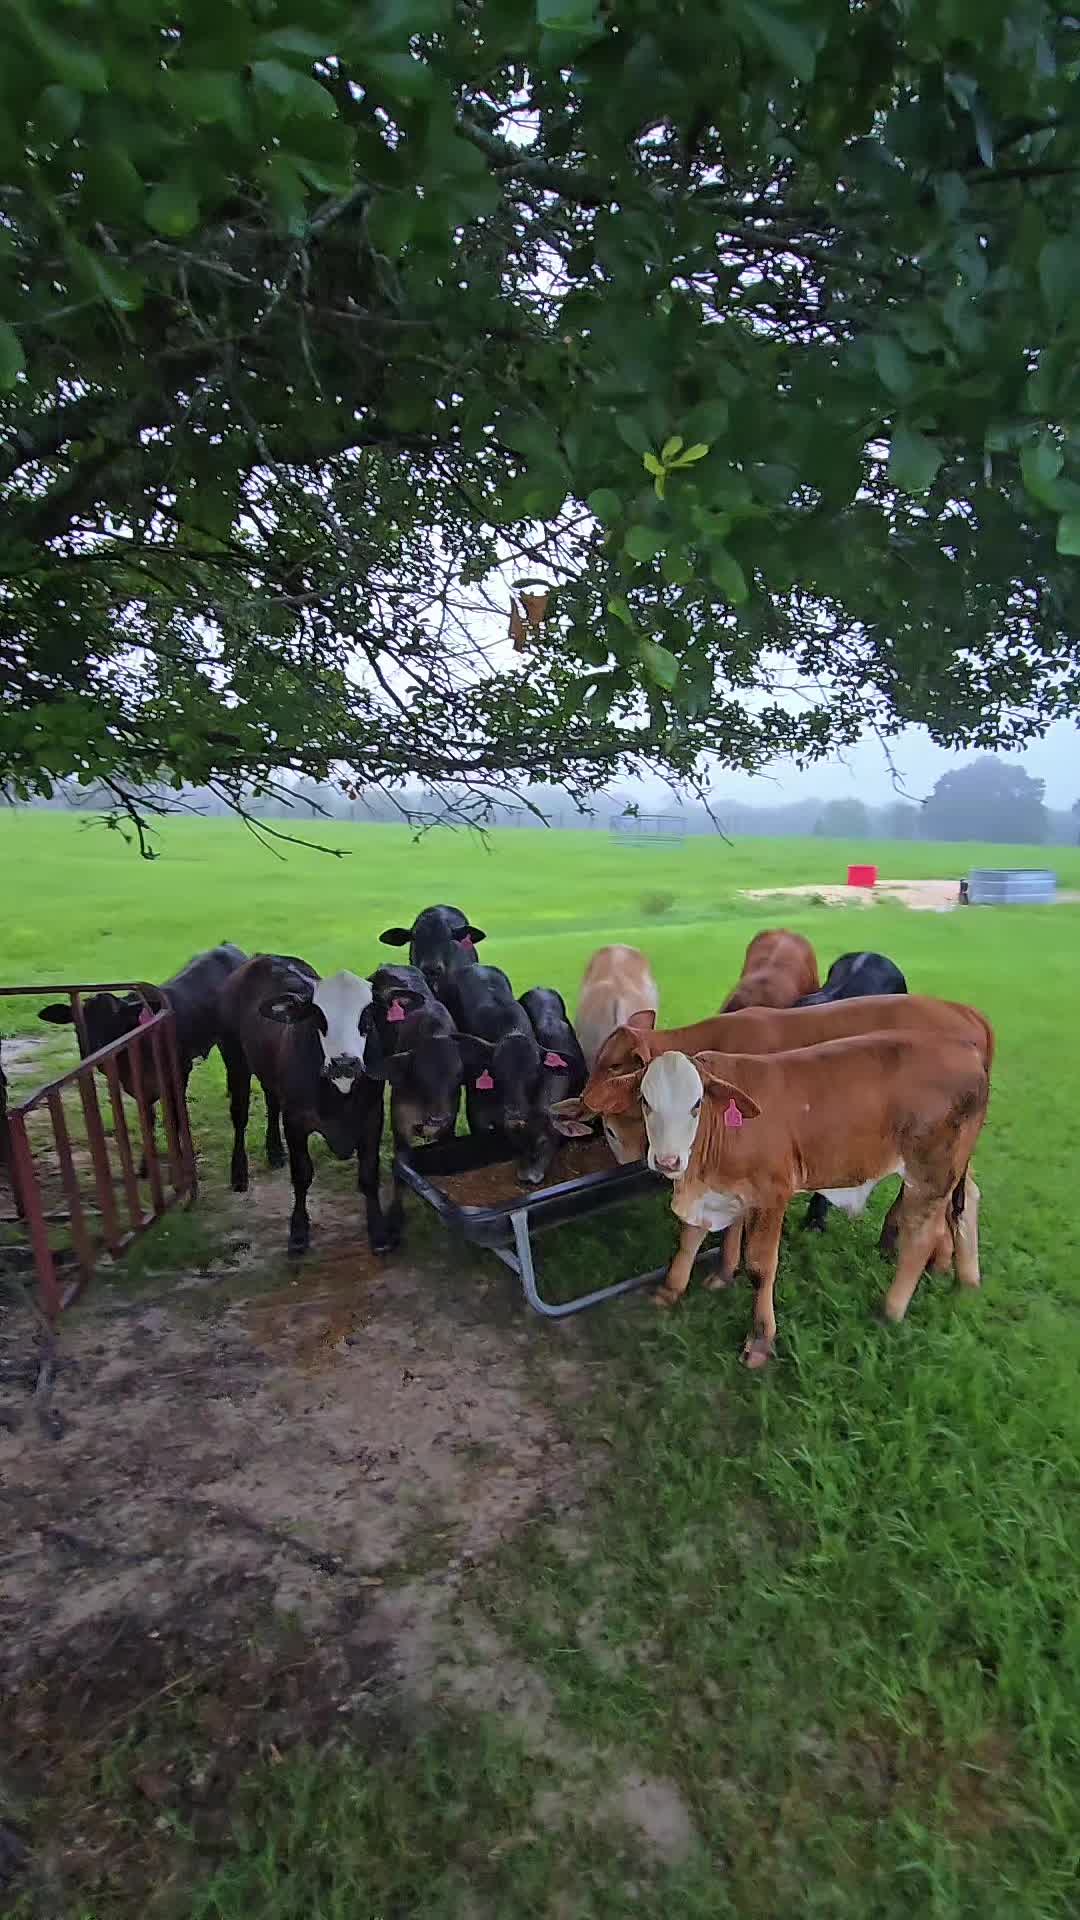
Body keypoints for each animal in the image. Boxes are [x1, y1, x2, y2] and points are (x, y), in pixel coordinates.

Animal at [219, 956, 393, 1258]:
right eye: (318, 1015)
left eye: (368, 1013)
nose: (344, 1062)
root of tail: (260, 958)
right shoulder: (296, 1121)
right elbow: (301, 1175)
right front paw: (298, 1232)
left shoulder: (372, 1116)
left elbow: (369, 1174)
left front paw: (379, 1232)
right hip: (236, 1061)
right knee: (239, 1116)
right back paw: (239, 1173)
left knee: (271, 1101)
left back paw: (275, 1151)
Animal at [601, 1028, 989, 1365]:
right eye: (645, 1102)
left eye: (696, 1104)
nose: (667, 1161)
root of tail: (966, 1050)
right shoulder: (718, 1193)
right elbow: (692, 1240)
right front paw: (675, 1290)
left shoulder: (772, 1193)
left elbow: (760, 1266)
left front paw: (760, 1340)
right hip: (955, 1167)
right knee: (965, 1203)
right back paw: (968, 1282)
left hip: (930, 1172)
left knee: (922, 1235)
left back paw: (889, 1311)